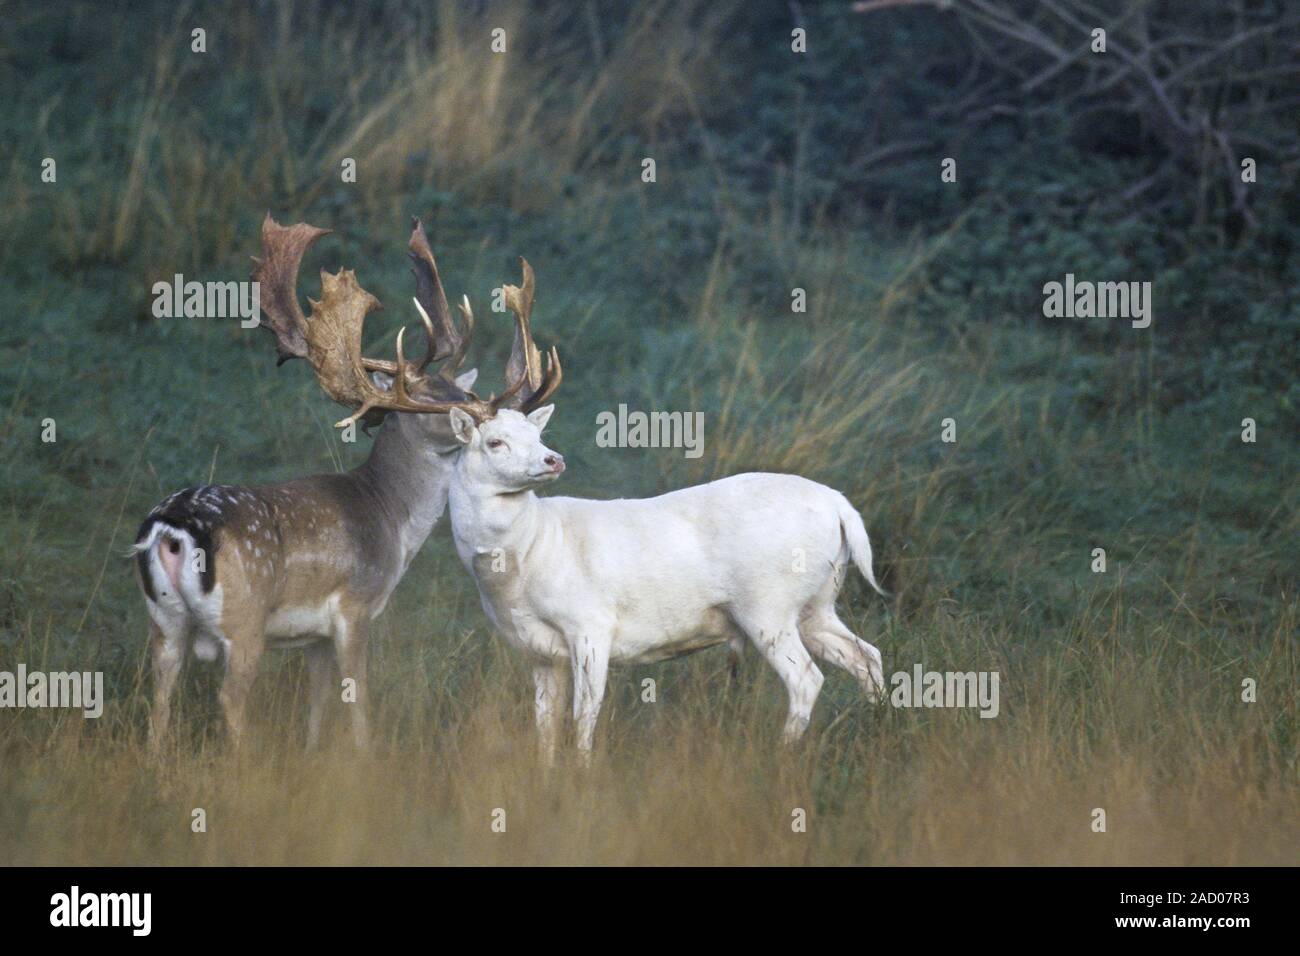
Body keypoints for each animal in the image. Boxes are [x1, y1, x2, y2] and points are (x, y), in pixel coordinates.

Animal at [133, 213, 556, 751]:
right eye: (437, 401)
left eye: (460, 389)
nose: (490, 409)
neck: (390, 520)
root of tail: (172, 528)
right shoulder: (355, 606)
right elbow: (358, 699)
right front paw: (364, 757)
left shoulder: (312, 634)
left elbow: (318, 699)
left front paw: (313, 753)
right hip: (243, 613)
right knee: (229, 696)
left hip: (164, 620)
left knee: (161, 692)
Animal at [442, 270, 888, 763]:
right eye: (495, 441)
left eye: (535, 434)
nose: (553, 459)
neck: (527, 556)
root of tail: (841, 507)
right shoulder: (539, 652)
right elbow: (545, 727)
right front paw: (547, 772)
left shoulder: (591, 624)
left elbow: (584, 716)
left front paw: (581, 773)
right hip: (817, 603)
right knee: (868, 655)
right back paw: (877, 736)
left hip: (768, 603)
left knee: (807, 679)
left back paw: (780, 757)